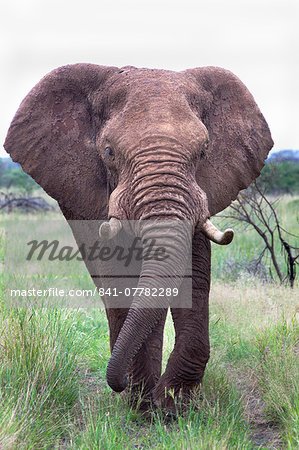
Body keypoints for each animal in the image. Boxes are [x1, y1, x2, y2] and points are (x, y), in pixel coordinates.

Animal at [2, 63, 274, 412]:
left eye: (203, 151)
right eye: (108, 152)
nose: (117, 383)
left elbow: (193, 275)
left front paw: (172, 404)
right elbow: (120, 275)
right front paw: (145, 403)